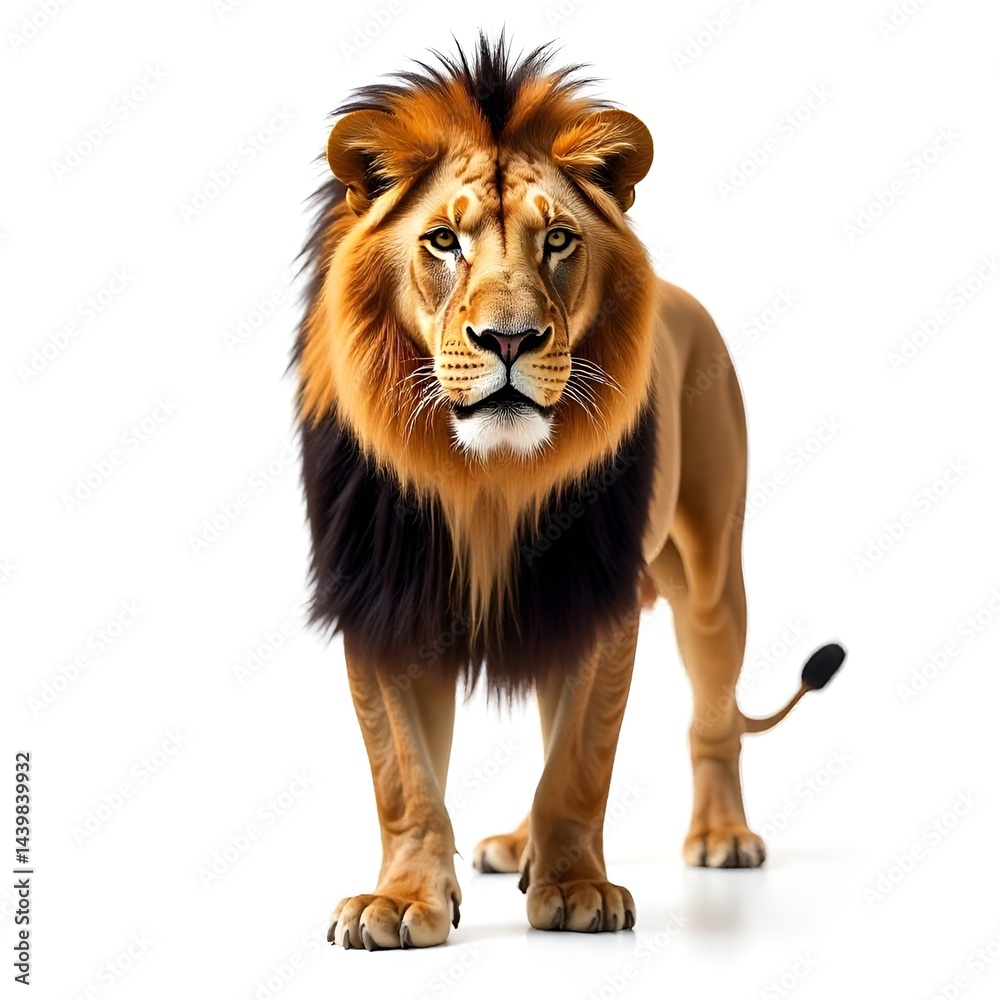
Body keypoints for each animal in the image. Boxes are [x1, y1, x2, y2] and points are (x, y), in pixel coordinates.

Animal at [293, 35, 844, 949]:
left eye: (557, 240)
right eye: (442, 240)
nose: (510, 338)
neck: (486, 479)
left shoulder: (598, 594)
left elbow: (582, 760)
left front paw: (579, 887)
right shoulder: (382, 594)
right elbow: (404, 775)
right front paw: (401, 901)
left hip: (709, 580)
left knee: (712, 719)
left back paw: (721, 836)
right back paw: (515, 845)